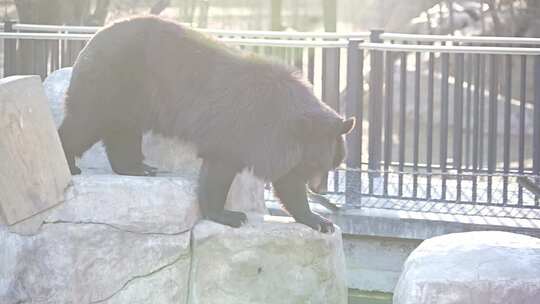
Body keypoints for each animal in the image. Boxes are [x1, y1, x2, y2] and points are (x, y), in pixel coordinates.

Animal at [59, 16, 354, 233]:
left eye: (332, 164)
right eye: (315, 164)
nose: (320, 189)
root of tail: (92, 39)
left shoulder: (280, 143)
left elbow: (288, 182)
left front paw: (319, 221)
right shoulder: (247, 124)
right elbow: (221, 165)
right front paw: (228, 215)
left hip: (131, 98)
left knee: (123, 131)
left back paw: (138, 168)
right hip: (112, 81)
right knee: (85, 121)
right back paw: (70, 164)